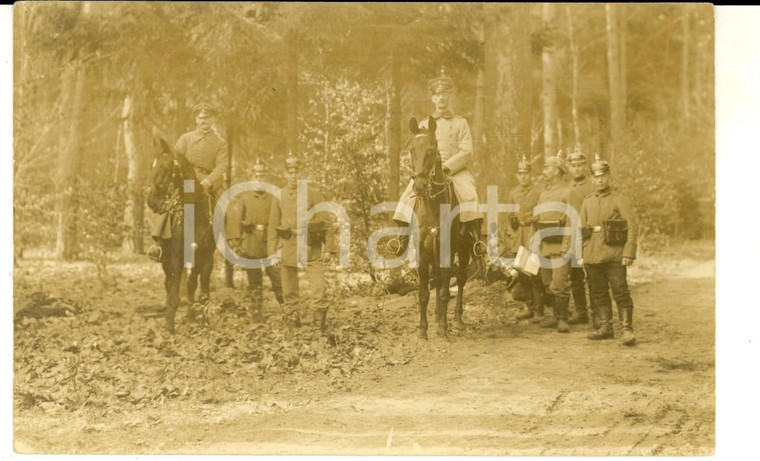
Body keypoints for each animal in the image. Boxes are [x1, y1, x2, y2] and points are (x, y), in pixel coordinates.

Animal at [147, 136, 215, 330]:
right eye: (152, 165)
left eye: (164, 166)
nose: (151, 201)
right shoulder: (175, 258)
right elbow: (173, 293)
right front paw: (169, 326)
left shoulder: (206, 258)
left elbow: (202, 292)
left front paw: (203, 319)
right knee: (169, 283)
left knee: (191, 284)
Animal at [406, 116, 478, 338]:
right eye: (412, 150)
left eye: (431, 149)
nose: (419, 187)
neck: (433, 205)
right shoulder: (422, 251)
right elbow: (423, 293)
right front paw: (423, 330)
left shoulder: (448, 249)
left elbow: (447, 291)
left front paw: (443, 330)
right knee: (437, 280)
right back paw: (438, 316)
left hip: (463, 250)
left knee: (460, 280)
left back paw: (457, 319)